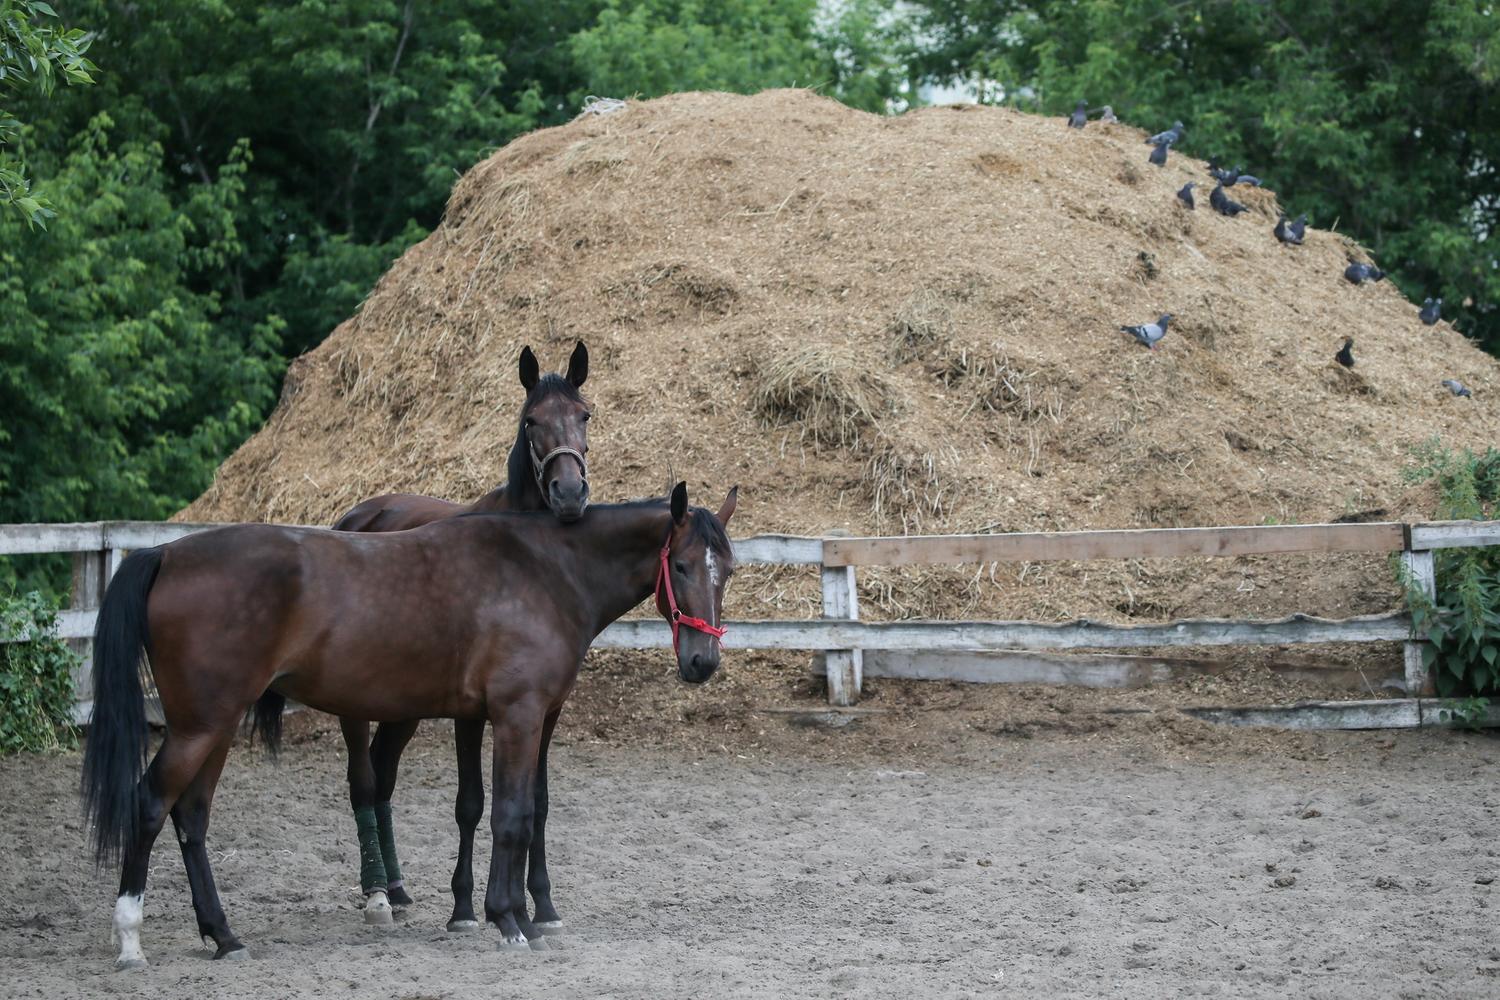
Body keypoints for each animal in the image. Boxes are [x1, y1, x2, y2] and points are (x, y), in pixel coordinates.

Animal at [82, 479, 738, 965]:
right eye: (681, 566)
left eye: (725, 570)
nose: (702, 663)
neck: (544, 569)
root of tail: (166, 553)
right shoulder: (518, 716)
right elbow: (510, 817)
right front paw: (507, 920)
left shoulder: (524, 719)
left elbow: (523, 814)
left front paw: (516, 914)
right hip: (198, 727)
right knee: (149, 806)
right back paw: (131, 939)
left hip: (213, 726)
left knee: (190, 817)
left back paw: (223, 936)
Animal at [331, 341, 588, 929]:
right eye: (531, 421)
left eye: (585, 415)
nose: (568, 493)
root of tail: (358, 515)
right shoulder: (472, 714)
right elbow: (471, 802)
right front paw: (466, 907)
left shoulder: (547, 708)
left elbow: (537, 802)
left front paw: (542, 904)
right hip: (356, 700)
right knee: (363, 779)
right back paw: (376, 893)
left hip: (403, 702)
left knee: (384, 772)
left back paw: (398, 886)